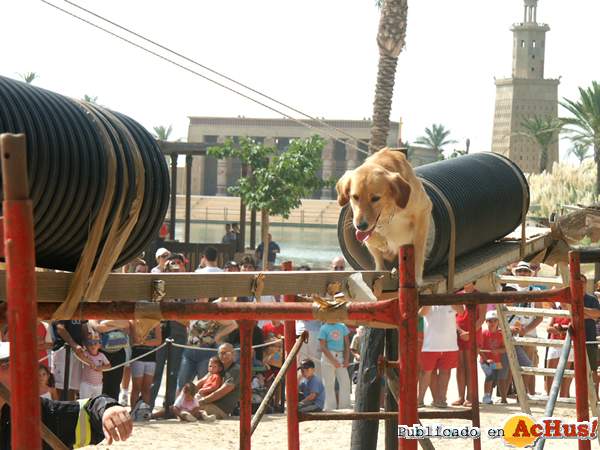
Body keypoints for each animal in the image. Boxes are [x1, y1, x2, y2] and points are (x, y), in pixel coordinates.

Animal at [338, 149, 432, 284]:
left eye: (375, 198)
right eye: (355, 197)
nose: (361, 226)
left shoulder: (423, 211)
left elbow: (418, 251)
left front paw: (417, 278)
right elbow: (371, 238)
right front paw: (382, 243)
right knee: (379, 261)